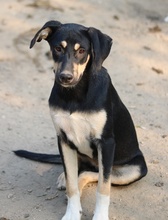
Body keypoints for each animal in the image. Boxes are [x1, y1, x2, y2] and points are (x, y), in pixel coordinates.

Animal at [14, 21, 148, 220]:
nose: (65, 77)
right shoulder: (63, 139)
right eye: (57, 48)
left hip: (135, 168)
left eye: (82, 51)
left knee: (95, 173)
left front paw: (100, 216)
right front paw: (72, 212)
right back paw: (64, 177)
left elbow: (103, 187)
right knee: (81, 169)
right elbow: (71, 185)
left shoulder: (106, 142)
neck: (74, 95)